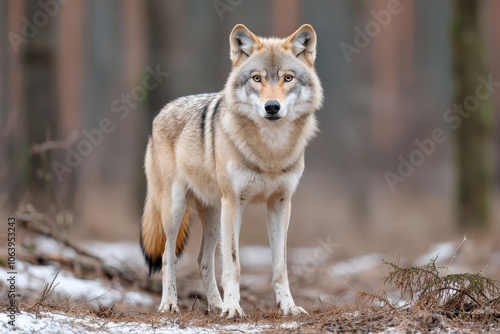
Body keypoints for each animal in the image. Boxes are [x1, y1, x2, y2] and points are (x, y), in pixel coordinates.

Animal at [140, 24, 324, 318]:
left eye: (288, 78)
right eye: (257, 78)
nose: (272, 107)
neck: (270, 151)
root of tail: (161, 111)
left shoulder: (280, 204)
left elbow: (280, 266)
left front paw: (288, 306)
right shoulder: (235, 203)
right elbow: (234, 264)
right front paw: (233, 308)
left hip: (216, 215)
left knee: (203, 260)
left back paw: (215, 305)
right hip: (178, 209)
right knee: (169, 256)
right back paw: (170, 304)